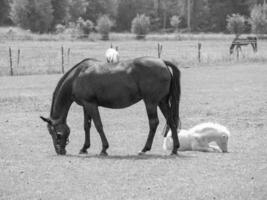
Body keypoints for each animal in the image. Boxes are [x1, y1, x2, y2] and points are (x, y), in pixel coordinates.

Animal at [40, 57, 182, 155]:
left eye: (56, 134)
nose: (60, 151)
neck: (77, 77)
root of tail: (162, 62)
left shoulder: (91, 104)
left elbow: (98, 125)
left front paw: (104, 149)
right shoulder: (86, 106)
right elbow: (86, 126)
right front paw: (84, 148)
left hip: (151, 102)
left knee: (153, 123)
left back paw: (144, 149)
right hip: (162, 102)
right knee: (171, 121)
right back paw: (174, 149)